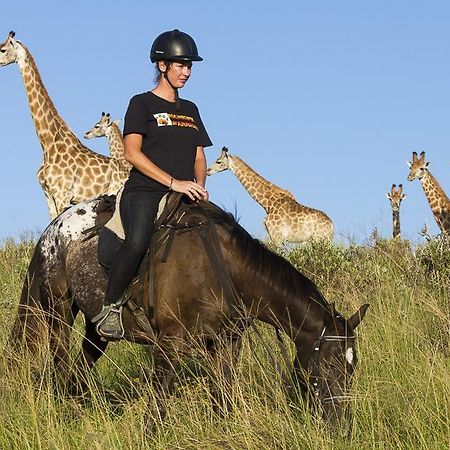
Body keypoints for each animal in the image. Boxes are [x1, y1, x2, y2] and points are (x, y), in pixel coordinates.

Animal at [11, 196, 370, 426]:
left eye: (352, 369)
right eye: (330, 366)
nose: (342, 425)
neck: (222, 268)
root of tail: (55, 226)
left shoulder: (226, 343)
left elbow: (222, 400)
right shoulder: (169, 344)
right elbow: (157, 409)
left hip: (96, 331)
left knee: (78, 372)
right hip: (57, 313)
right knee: (59, 370)